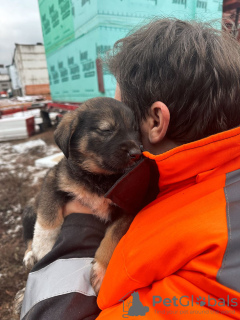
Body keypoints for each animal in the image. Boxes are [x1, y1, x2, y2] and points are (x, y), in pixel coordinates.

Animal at [22, 97, 141, 296]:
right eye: (106, 130)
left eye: (135, 130)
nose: (137, 153)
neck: (100, 177)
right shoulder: (53, 179)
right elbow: (48, 216)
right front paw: (43, 247)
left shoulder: (127, 209)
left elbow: (113, 235)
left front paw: (102, 270)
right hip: (30, 210)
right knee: (28, 234)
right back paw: (30, 253)